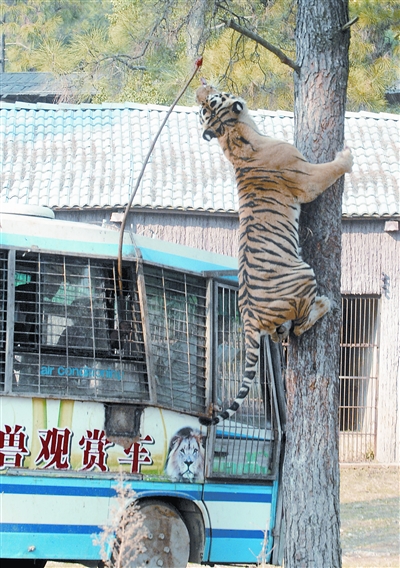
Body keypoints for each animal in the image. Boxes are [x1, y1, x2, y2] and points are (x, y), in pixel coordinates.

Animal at [197, 82, 354, 424]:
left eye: (205, 104)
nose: (200, 88)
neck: (234, 135)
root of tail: (248, 316)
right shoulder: (307, 178)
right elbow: (330, 169)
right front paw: (346, 156)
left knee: (286, 332)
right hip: (303, 274)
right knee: (303, 323)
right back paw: (326, 303)